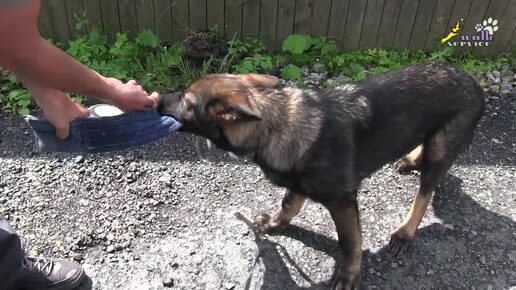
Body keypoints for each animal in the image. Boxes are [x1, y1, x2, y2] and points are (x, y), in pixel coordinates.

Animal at [156, 62, 484, 288]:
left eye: (186, 101)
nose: (156, 100)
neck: (273, 125)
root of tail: (473, 82)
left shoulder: (342, 201)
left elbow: (350, 242)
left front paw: (349, 275)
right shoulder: (296, 184)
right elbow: (288, 206)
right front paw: (275, 224)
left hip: (439, 152)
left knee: (425, 193)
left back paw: (405, 231)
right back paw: (412, 158)